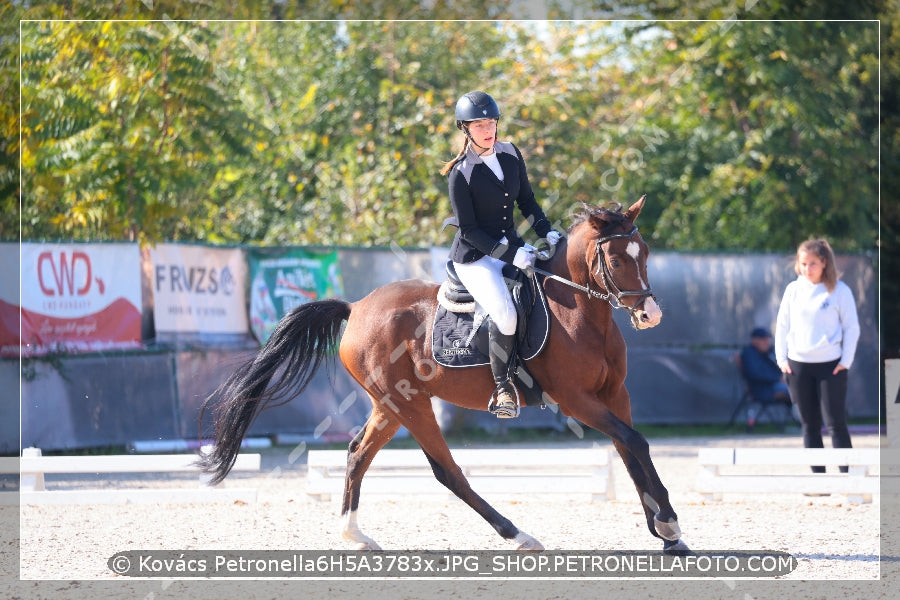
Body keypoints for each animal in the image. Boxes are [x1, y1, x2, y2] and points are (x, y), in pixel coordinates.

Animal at [199, 196, 688, 552]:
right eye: (617, 260)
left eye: (644, 254)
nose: (650, 314)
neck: (580, 312)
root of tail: (356, 307)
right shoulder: (576, 400)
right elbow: (634, 442)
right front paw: (668, 523)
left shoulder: (614, 395)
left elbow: (629, 448)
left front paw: (664, 532)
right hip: (411, 404)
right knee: (447, 471)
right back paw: (518, 535)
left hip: (390, 405)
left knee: (358, 454)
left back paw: (355, 536)